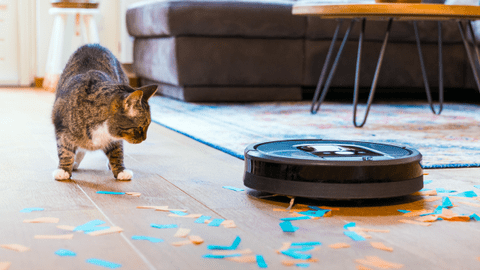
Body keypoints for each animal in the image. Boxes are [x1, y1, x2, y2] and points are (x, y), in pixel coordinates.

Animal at [52, 43, 158, 180]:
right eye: (141, 127)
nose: (144, 138)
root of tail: (93, 44)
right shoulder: (61, 127)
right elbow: (64, 150)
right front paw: (64, 169)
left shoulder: (116, 138)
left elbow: (117, 152)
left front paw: (120, 170)